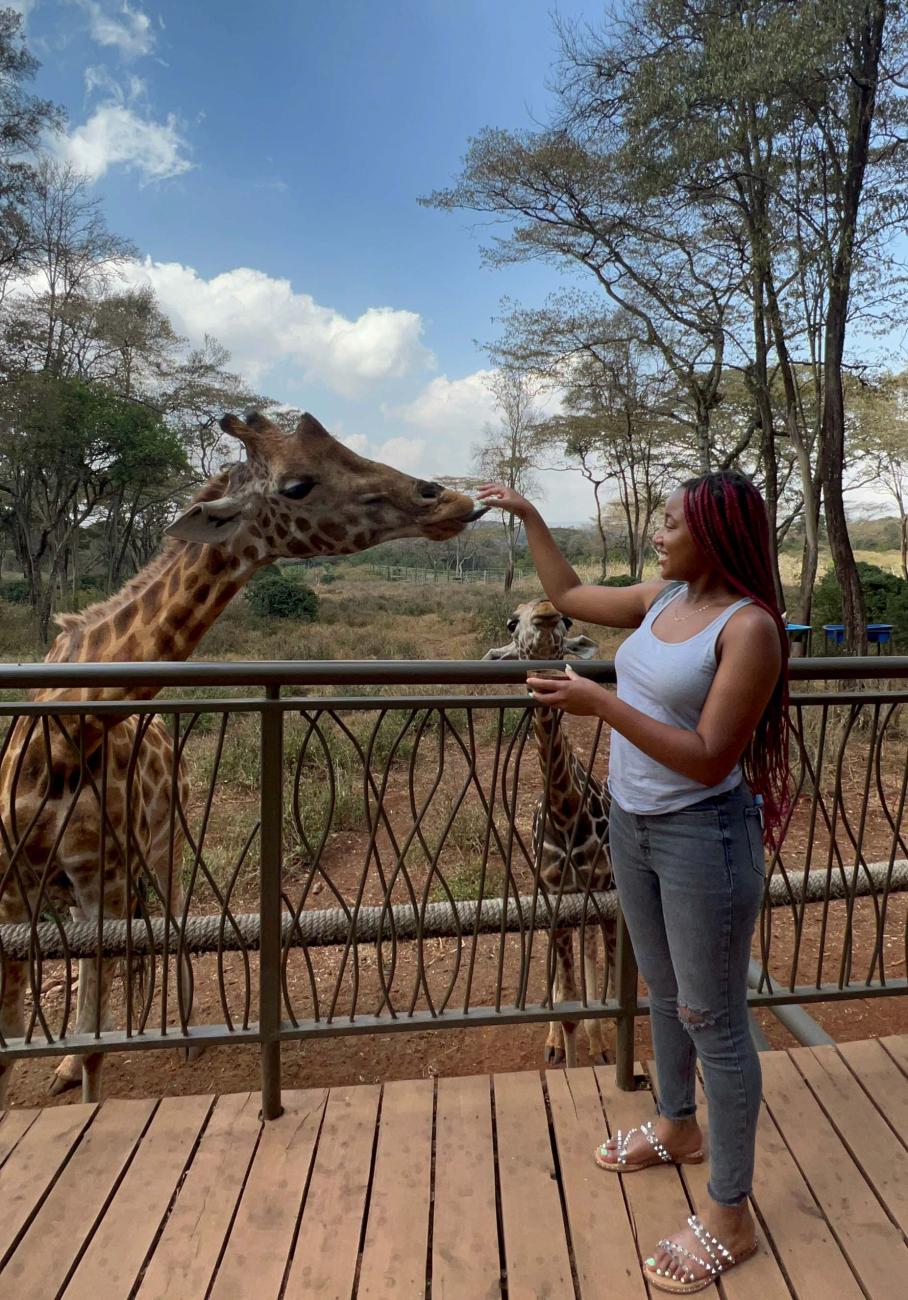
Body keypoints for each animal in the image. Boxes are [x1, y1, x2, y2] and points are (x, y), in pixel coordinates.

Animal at [0, 403, 481, 1097]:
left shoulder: (102, 880)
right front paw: (63, 1072)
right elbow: (17, 1039)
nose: (451, 499)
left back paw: (180, 1039)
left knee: (165, 926)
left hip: (166, 846)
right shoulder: (10, 890)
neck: (64, 742)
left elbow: (91, 1038)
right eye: (297, 485)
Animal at [481, 598, 616, 1066]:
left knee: (588, 950)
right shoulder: (555, 895)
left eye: (569, 619)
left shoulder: (603, 892)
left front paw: (603, 1046)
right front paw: (567, 1052)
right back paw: (554, 1041)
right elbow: (570, 1006)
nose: (545, 609)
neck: (566, 808)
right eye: (511, 622)